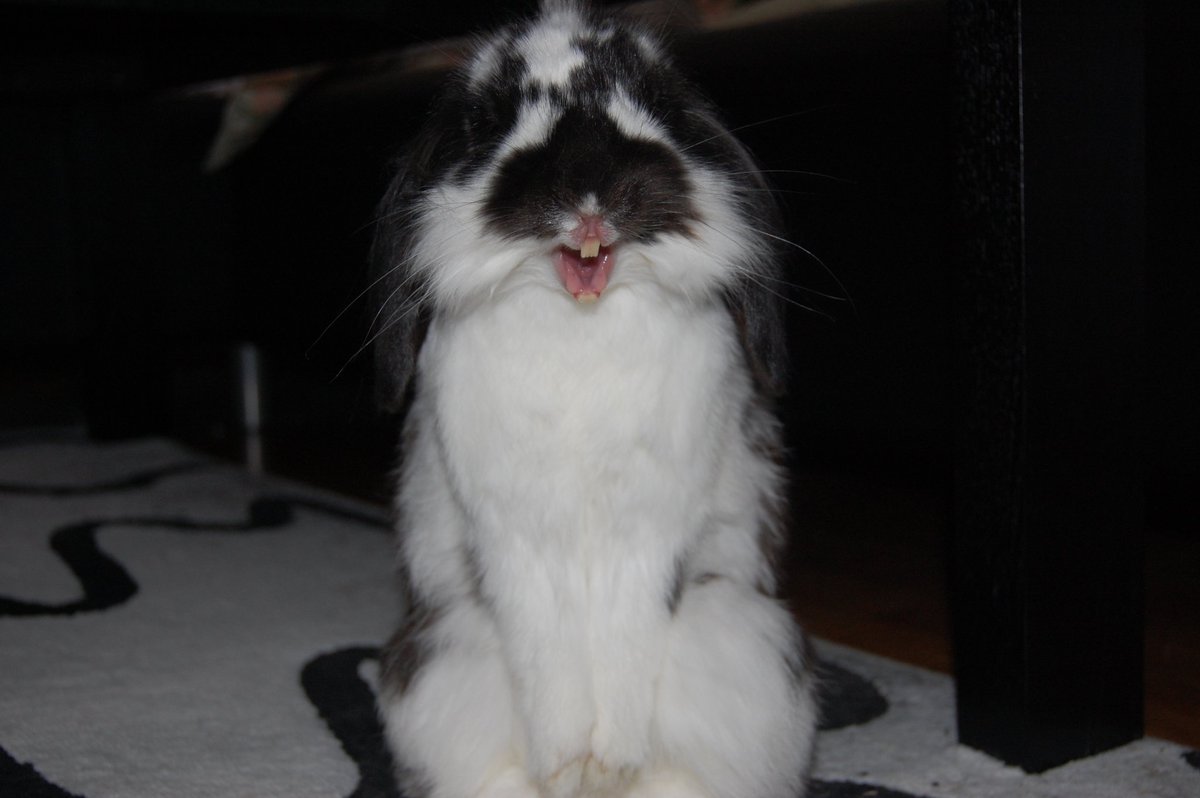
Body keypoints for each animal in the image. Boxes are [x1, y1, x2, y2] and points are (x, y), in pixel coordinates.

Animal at [371, 3, 817, 798]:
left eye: (655, 101)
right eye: (487, 120)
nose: (588, 192)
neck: (582, 321)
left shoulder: (649, 528)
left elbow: (626, 639)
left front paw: (609, 764)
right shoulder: (514, 534)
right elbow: (547, 654)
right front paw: (568, 764)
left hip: (750, 641)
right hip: (441, 656)